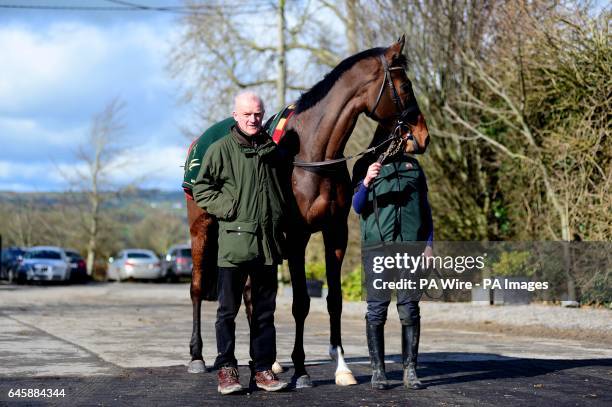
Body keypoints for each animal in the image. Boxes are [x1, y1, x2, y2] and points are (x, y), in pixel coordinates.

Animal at [186, 35, 430, 388]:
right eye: (407, 86)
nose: (422, 136)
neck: (312, 154)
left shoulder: (335, 233)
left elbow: (334, 300)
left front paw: (341, 367)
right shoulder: (297, 237)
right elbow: (300, 302)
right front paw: (301, 371)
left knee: (250, 295)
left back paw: (266, 363)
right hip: (202, 230)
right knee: (196, 289)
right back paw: (197, 357)